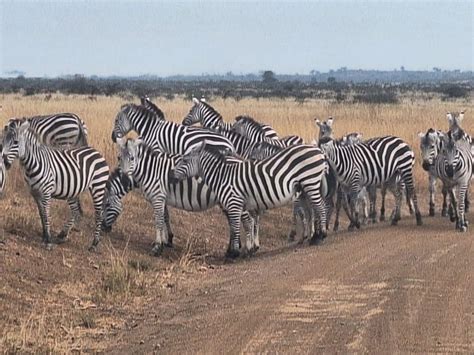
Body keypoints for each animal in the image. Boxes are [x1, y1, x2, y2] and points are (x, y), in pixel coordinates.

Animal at [1, 121, 108, 249]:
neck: (33, 164)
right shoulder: (35, 193)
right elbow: (41, 214)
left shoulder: (46, 193)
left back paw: (94, 243)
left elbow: (47, 215)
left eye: (16, 142)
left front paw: (48, 240)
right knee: (76, 211)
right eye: (3, 141)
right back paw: (63, 235)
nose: (4, 162)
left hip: (98, 186)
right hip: (73, 189)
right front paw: (44, 236)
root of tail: (97, 152)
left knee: (99, 214)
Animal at [170, 142, 330, 258]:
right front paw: (247, 249)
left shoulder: (234, 203)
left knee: (320, 206)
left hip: (310, 181)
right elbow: (245, 225)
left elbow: (236, 227)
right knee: (314, 208)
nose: (171, 176)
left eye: (184, 160)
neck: (222, 177)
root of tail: (318, 150)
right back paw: (313, 237)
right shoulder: (240, 205)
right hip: (304, 187)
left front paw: (234, 253)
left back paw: (321, 236)